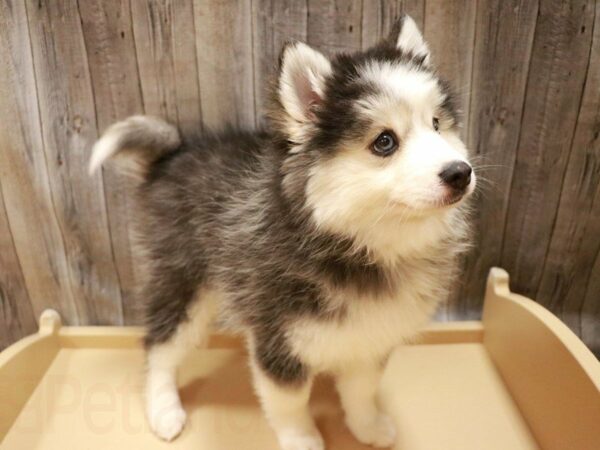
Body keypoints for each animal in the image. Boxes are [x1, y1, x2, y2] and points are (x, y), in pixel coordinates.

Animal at [89, 14, 474, 450]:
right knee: (159, 348)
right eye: (384, 142)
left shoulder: (371, 336)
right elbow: (291, 403)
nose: (460, 173)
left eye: (437, 125)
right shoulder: (277, 340)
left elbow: (361, 389)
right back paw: (163, 410)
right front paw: (302, 439)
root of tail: (173, 155)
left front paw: (367, 426)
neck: (366, 247)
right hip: (184, 285)